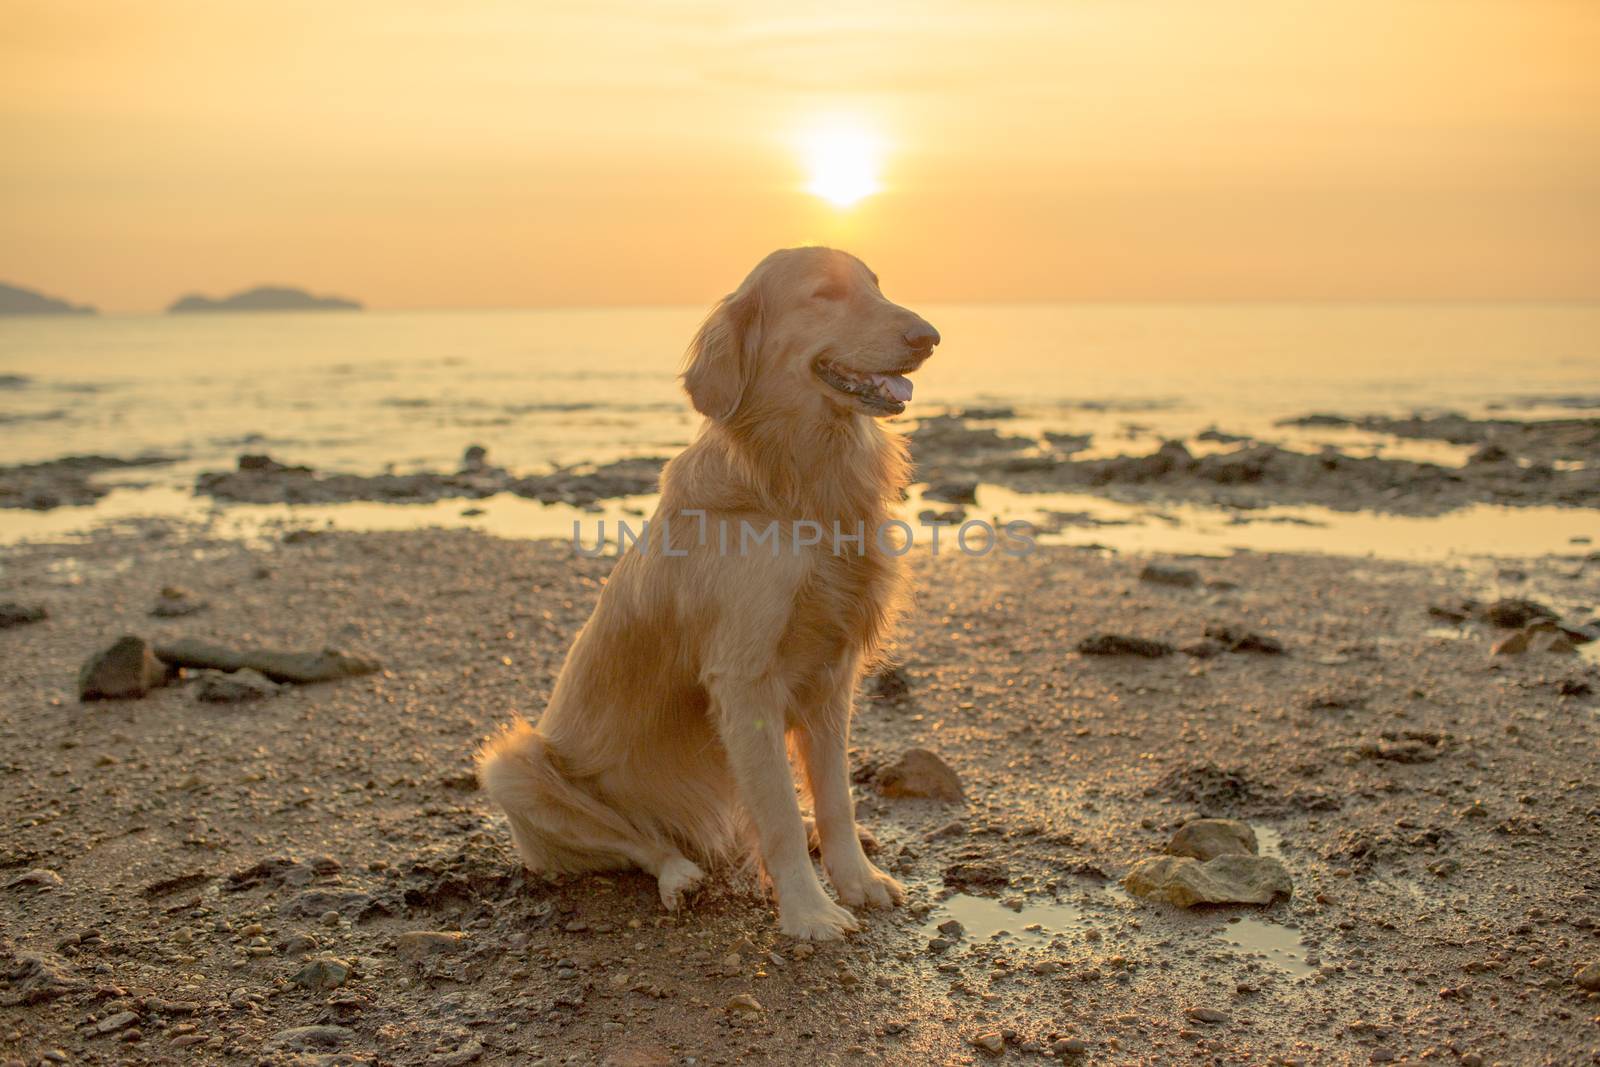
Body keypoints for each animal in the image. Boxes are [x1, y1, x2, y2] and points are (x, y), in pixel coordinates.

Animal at [480, 246, 940, 940]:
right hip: (512, 766)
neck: (795, 489)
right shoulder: (745, 679)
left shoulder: (832, 675)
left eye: (877, 286)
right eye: (824, 293)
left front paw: (856, 880)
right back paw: (679, 875)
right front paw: (808, 912)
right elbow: (778, 813)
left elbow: (836, 799)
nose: (929, 336)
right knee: (642, 844)